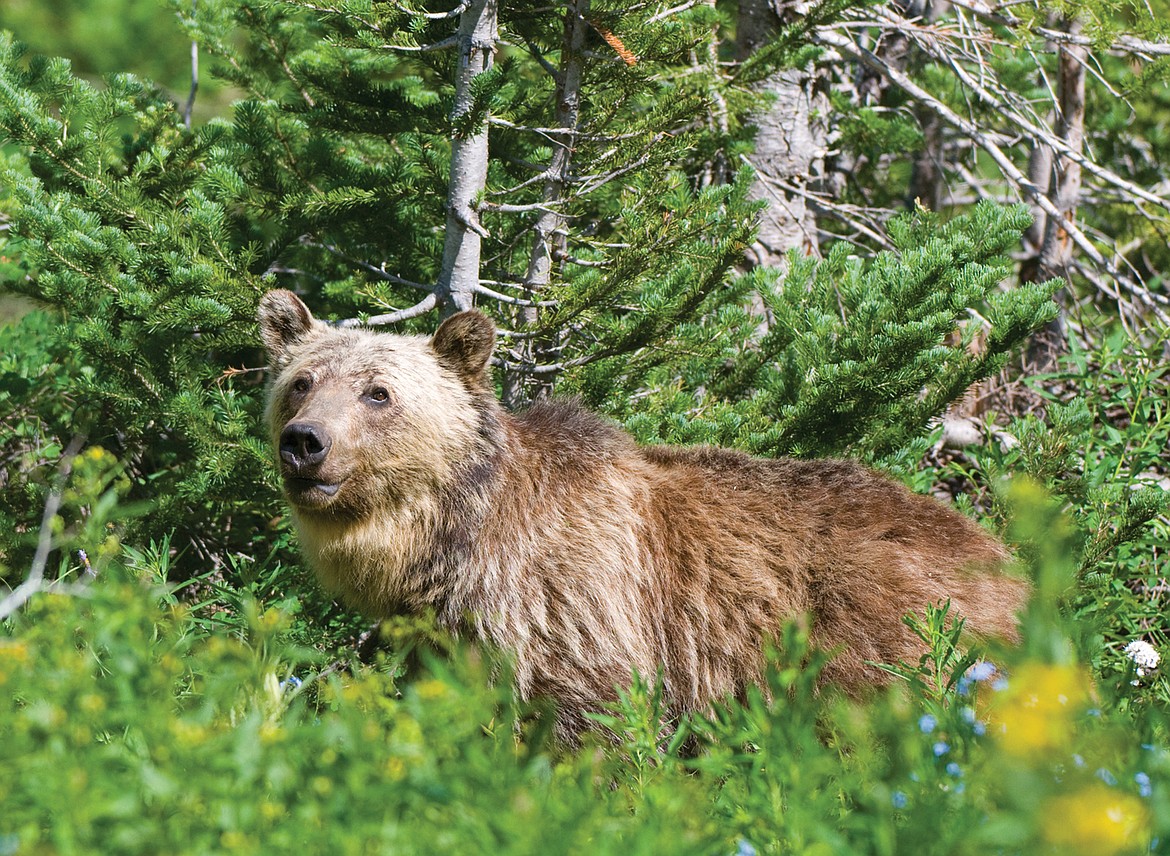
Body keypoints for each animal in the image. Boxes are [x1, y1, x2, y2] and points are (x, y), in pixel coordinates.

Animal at [260, 287, 1029, 734]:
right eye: (301, 380)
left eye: (378, 392)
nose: (305, 442)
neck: (454, 541)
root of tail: (1004, 558)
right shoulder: (445, 634)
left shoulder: (576, 602)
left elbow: (594, 718)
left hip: (883, 638)